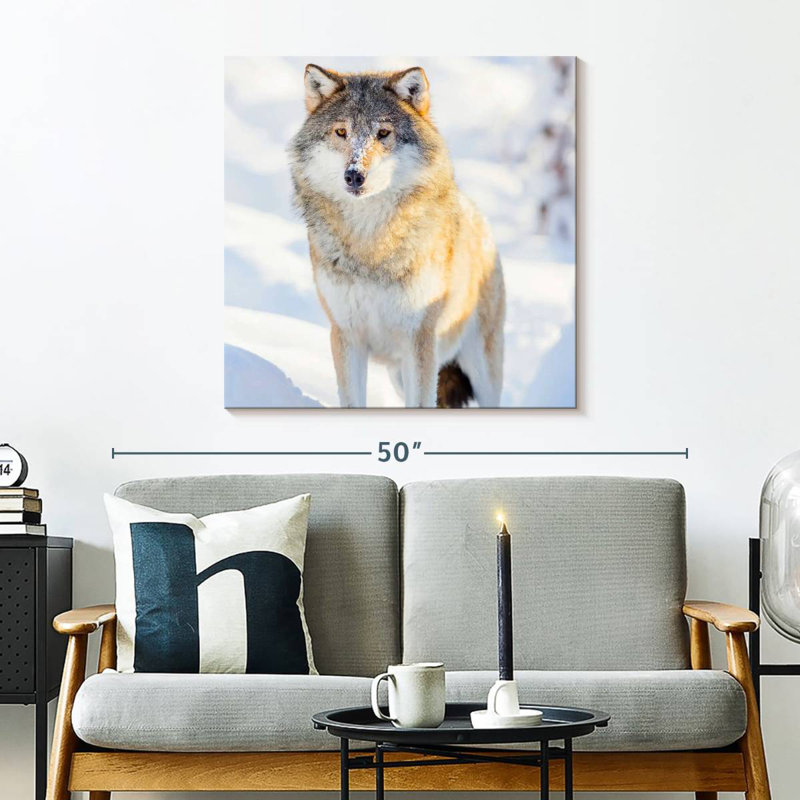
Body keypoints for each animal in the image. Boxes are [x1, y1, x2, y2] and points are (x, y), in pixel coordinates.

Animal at [289, 64, 505, 407]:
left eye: (383, 133)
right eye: (341, 132)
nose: (354, 175)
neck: (370, 243)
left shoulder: (419, 340)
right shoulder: (346, 336)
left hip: (479, 371)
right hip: (399, 375)